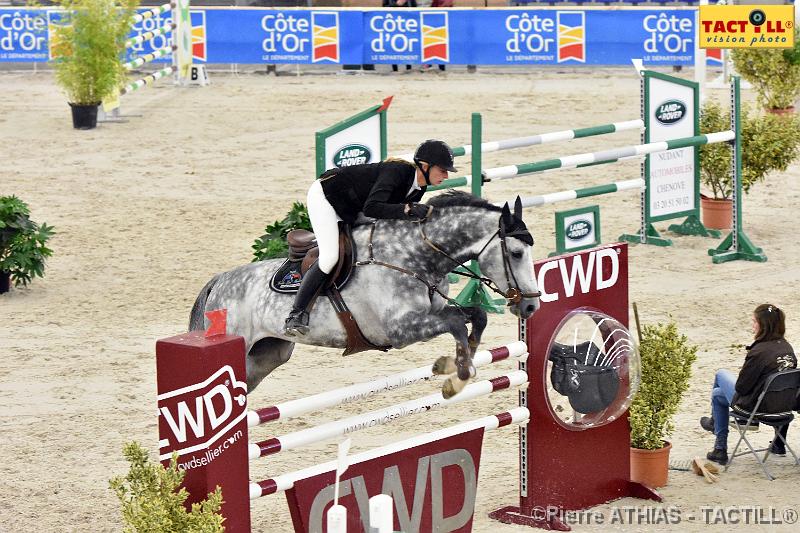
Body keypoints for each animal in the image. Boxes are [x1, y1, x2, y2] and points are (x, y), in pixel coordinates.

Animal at [190, 190, 540, 394]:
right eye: (516, 253)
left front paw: (457, 366)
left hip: (266, 356)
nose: (531, 307)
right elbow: (456, 322)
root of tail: (217, 283)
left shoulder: (431, 313)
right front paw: (455, 374)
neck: (414, 255)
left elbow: (476, 316)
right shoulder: (400, 330)